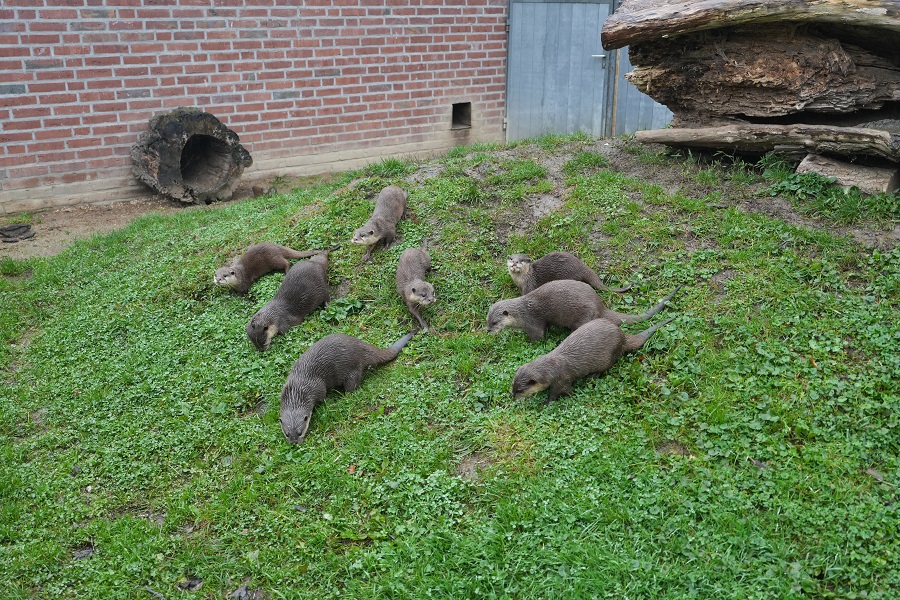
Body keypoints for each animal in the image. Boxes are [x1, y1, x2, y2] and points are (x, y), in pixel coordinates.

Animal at [278, 330, 418, 442]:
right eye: (287, 434)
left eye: (300, 432)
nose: (294, 443)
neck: (298, 388)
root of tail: (360, 345)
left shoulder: (318, 388)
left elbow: (323, 396)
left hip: (352, 370)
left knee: (352, 387)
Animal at [488, 278, 680, 340]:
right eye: (487, 321)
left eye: (495, 322)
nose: (488, 331)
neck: (521, 313)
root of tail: (600, 305)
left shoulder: (532, 322)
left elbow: (539, 336)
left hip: (584, 315)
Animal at [512, 314, 676, 404]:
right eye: (513, 386)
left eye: (520, 390)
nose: (513, 396)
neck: (552, 367)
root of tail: (622, 336)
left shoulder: (562, 380)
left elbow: (558, 393)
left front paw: (545, 402)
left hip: (608, 356)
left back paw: (592, 376)